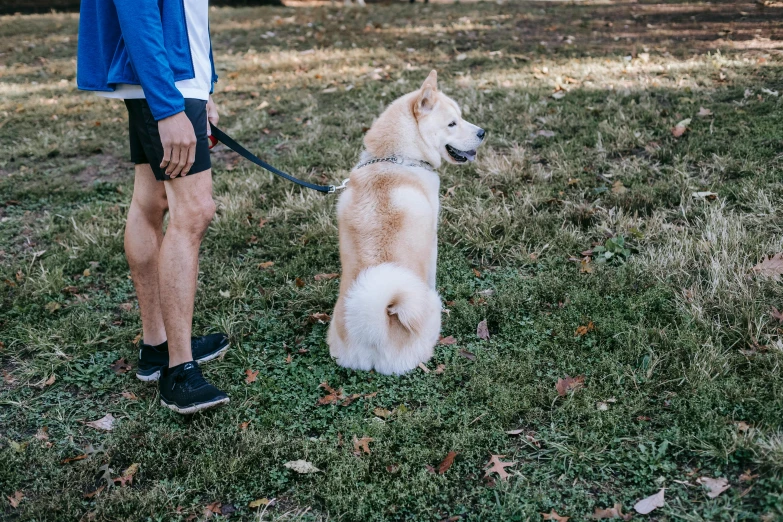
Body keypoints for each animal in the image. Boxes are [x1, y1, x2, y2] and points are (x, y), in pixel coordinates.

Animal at [328, 71, 486, 372]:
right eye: (452, 123)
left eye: (460, 117)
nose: (483, 133)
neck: (396, 158)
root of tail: (376, 330)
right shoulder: (432, 241)